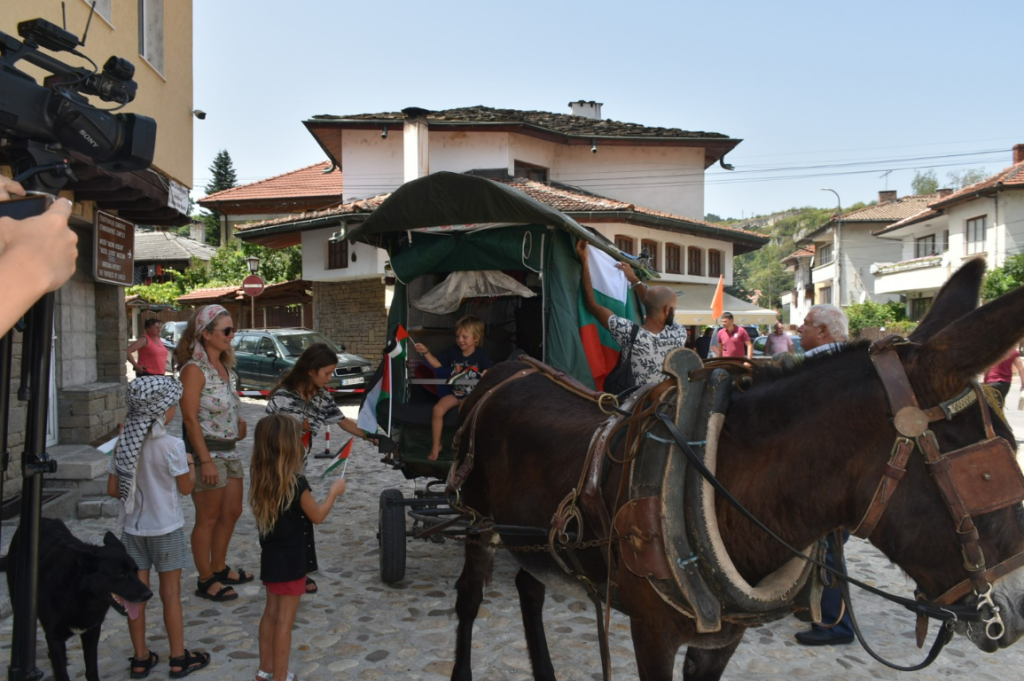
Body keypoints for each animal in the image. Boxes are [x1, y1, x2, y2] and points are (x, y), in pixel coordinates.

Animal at [1, 518, 151, 675]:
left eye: (136, 571)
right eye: (121, 575)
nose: (149, 594)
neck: (79, 595)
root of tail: (45, 519)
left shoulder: (92, 631)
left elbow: (91, 669)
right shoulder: (55, 638)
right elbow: (61, 673)